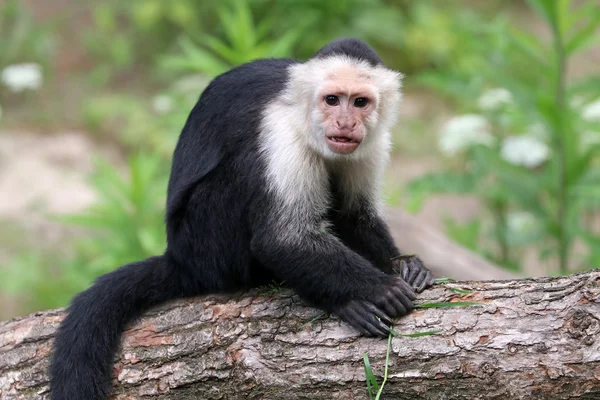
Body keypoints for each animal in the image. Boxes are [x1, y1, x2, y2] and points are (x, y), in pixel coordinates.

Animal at [49, 36, 434, 396]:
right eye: (332, 100)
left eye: (360, 102)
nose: (345, 121)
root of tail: (180, 259)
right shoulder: (281, 135)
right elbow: (282, 239)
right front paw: (379, 287)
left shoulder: (373, 143)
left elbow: (355, 215)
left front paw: (402, 264)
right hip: (207, 242)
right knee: (246, 168)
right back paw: (340, 301)